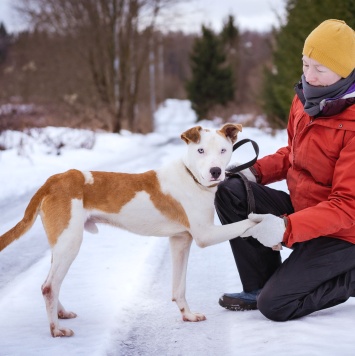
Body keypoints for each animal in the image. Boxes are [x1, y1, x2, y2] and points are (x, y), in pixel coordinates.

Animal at [0, 124, 256, 338]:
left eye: (223, 150)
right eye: (201, 150)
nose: (216, 171)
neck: (191, 176)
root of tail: (52, 181)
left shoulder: (180, 241)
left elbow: (179, 287)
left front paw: (187, 315)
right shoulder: (205, 235)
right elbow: (247, 223)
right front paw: (264, 222)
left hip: (62, 243)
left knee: (50, 283)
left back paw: (61, 313)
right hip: (70, 243)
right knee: (49, 286)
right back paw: (56, 329)